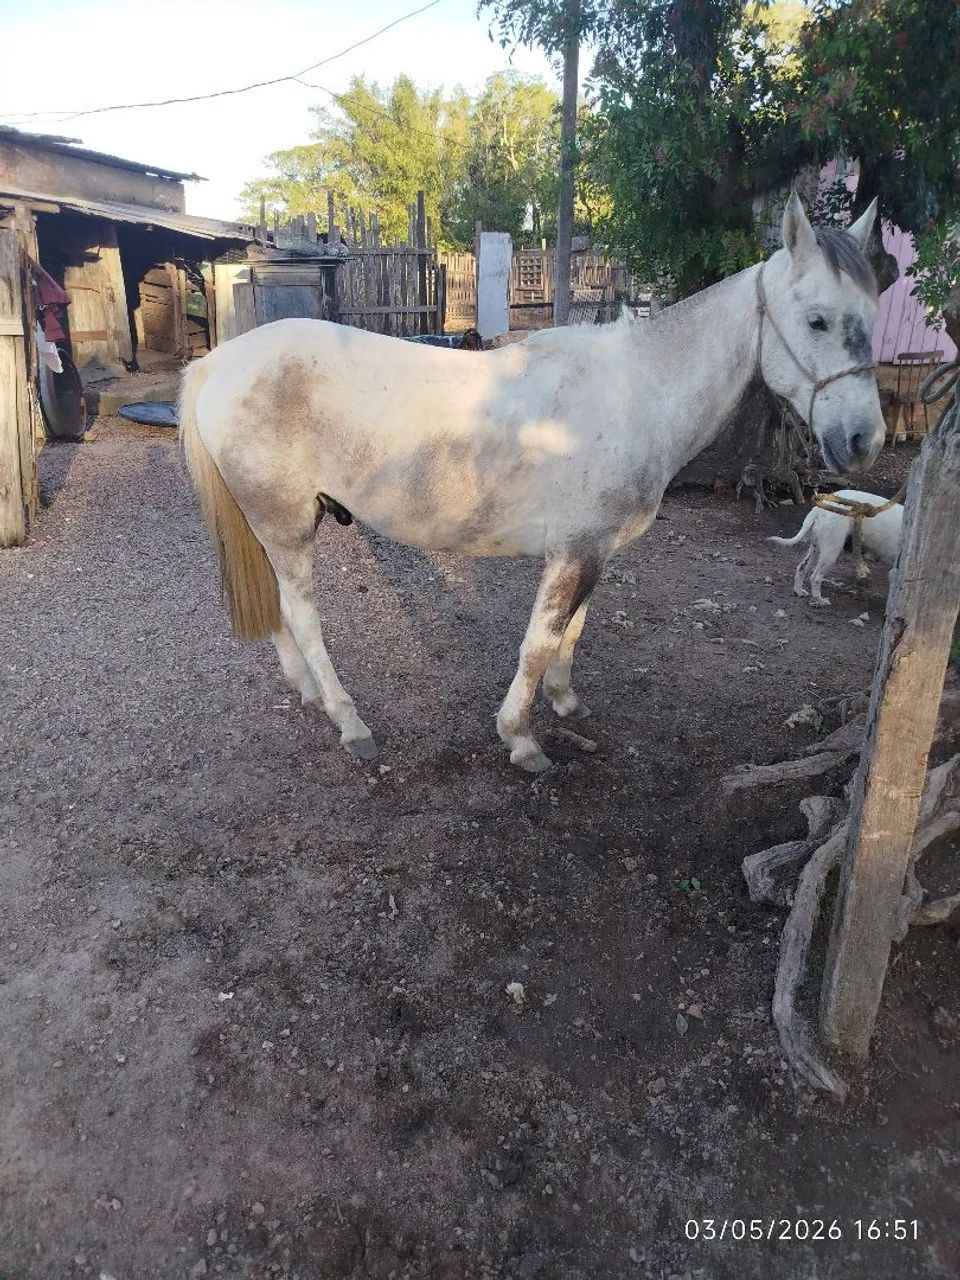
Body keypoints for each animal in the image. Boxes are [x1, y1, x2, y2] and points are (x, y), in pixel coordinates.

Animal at [180, 194, 884, 772]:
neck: (635, 392)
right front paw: (520, 737)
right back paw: (349, 721)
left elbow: (571, 631)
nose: (865, 440)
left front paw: (565, 702)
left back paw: (306, 692)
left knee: (280, 610)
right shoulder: (572, 553)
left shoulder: (593, 551)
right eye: (818, 320)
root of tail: (219, 364)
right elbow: (539, 642)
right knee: (303, 616)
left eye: (873, 311)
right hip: (287, 526)